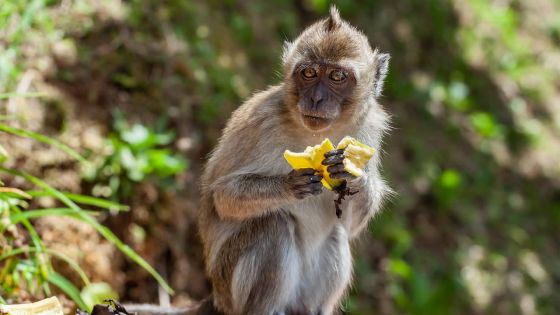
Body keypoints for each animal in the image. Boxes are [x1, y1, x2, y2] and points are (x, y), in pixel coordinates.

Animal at [197, 6, 390, 315]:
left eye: (337, 76)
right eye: (309, 73)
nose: (317, 98)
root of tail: (216, 295)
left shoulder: (370, 130)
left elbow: (351, 226)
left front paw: (352, 174)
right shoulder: (261, 121)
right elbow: (222, 197)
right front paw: (288, 186)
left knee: (336, 235)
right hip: (229, 285)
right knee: (273, 225)